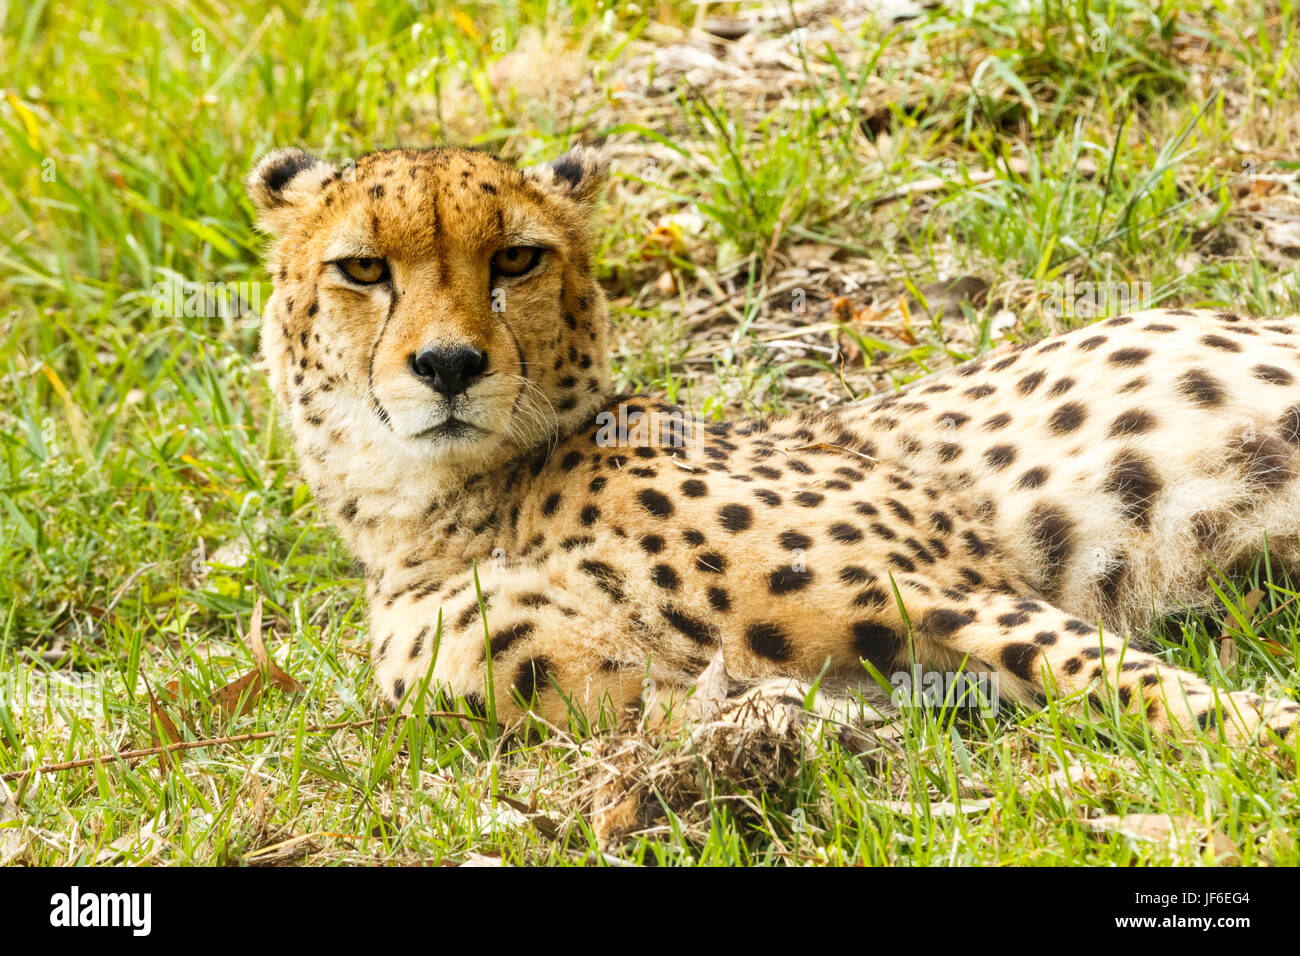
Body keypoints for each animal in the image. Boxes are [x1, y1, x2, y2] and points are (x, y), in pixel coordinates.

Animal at [245, 143, 1300, 749]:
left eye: (516, 257)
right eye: (363, 269)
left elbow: (1116, 674)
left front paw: (1266, 732)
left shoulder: (949, 588)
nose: (450, 364)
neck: (461, 502)